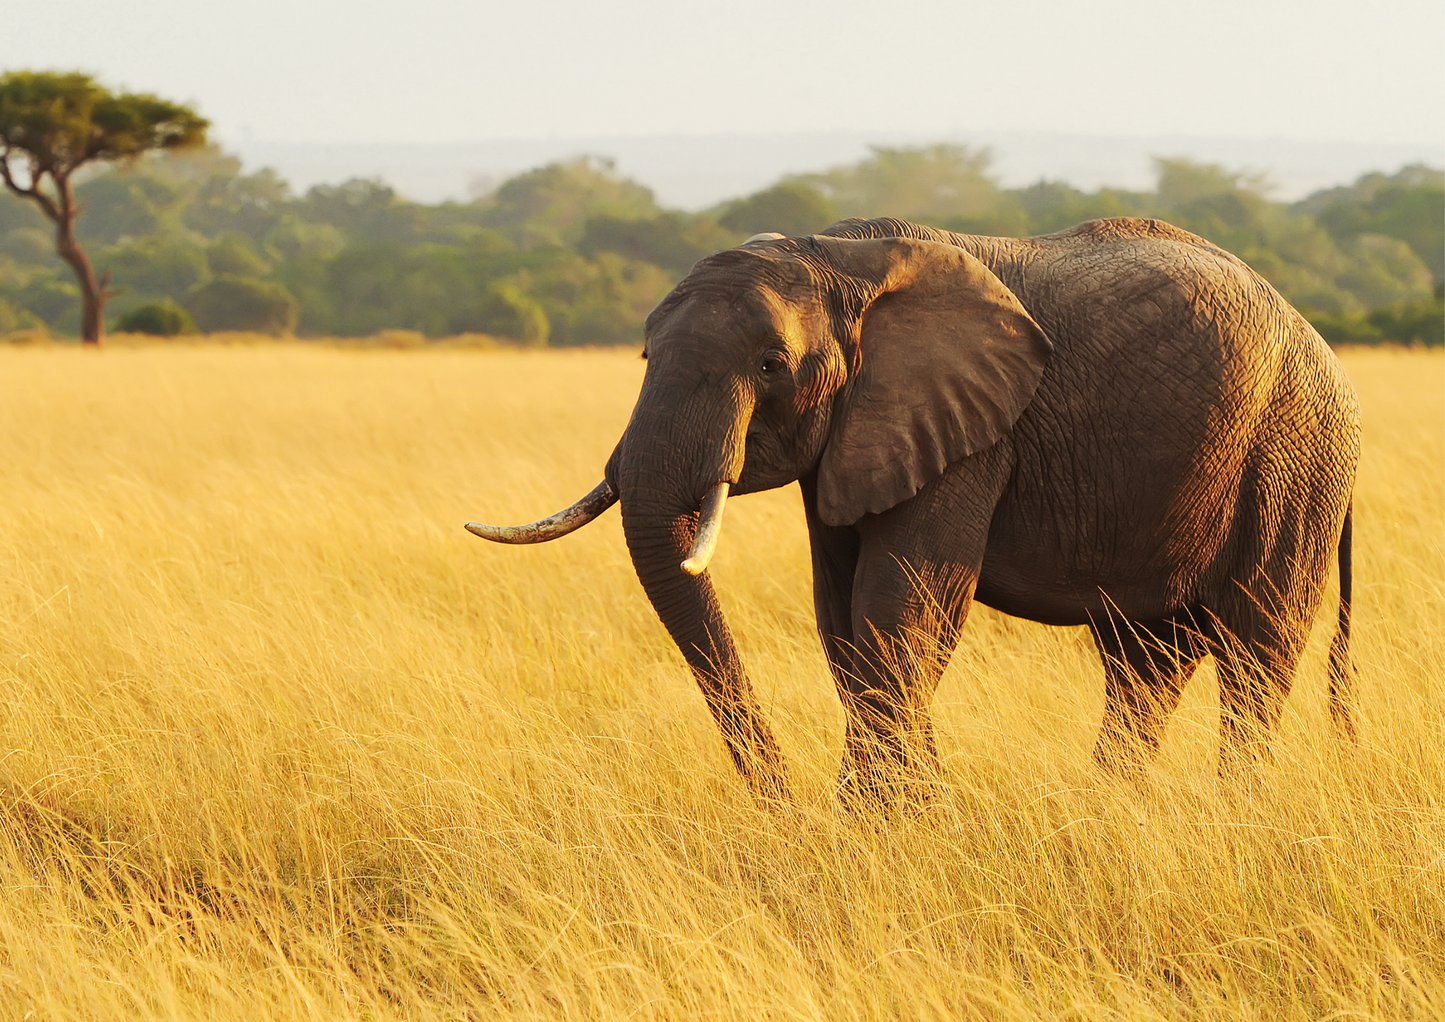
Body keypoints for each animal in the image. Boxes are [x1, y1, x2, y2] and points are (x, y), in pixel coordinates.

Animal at [468, 216, 1360, 803]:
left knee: (1256, 646)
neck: (837, 257)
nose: (780, 801)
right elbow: (841, 617)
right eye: (644, 355)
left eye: (771, 365)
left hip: (1294, 456)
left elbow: (901, 602)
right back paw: (1107, 809)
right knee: (1145, 658)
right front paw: (910, 810)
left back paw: (1231, 813)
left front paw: (881, 820)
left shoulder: (971, 434)